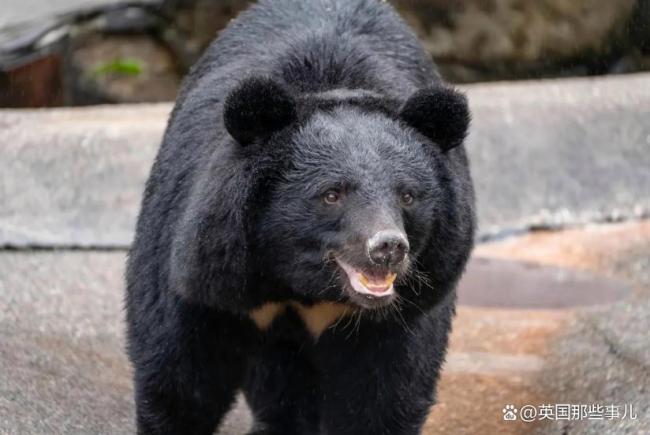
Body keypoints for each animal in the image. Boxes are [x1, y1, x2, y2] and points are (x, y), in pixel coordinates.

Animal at [125, 0, 475, 434]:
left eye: (407, 195)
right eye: (331, 194)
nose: (388, 247)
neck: (303, 285)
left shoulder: (406, 308)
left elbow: (385, 394)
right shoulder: (208, 266)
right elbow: (180, 373)